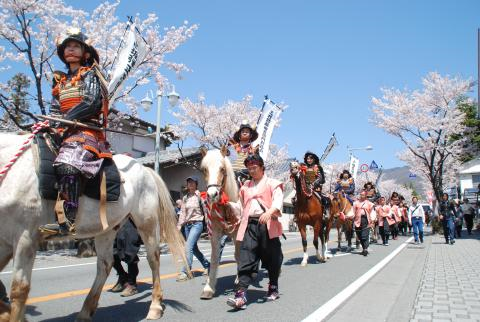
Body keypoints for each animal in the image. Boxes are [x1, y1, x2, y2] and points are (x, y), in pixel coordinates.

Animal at [0, 132, 188, 320]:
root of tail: (145, 170)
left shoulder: (26, 236)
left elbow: (19, 289)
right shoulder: (5, 241)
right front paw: (7, 313)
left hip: (146, 221)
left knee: (153, 258)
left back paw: (155, 306)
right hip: (108, 228)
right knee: (105, 264)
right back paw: (86, 311)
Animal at [197, 148, 240, 300]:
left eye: (222, 169)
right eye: (204, 169)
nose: (212, 194)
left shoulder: (237, 231)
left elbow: (238, 255)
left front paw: (239, 279)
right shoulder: (215, 232)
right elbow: (214, 258)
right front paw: (209, 287)